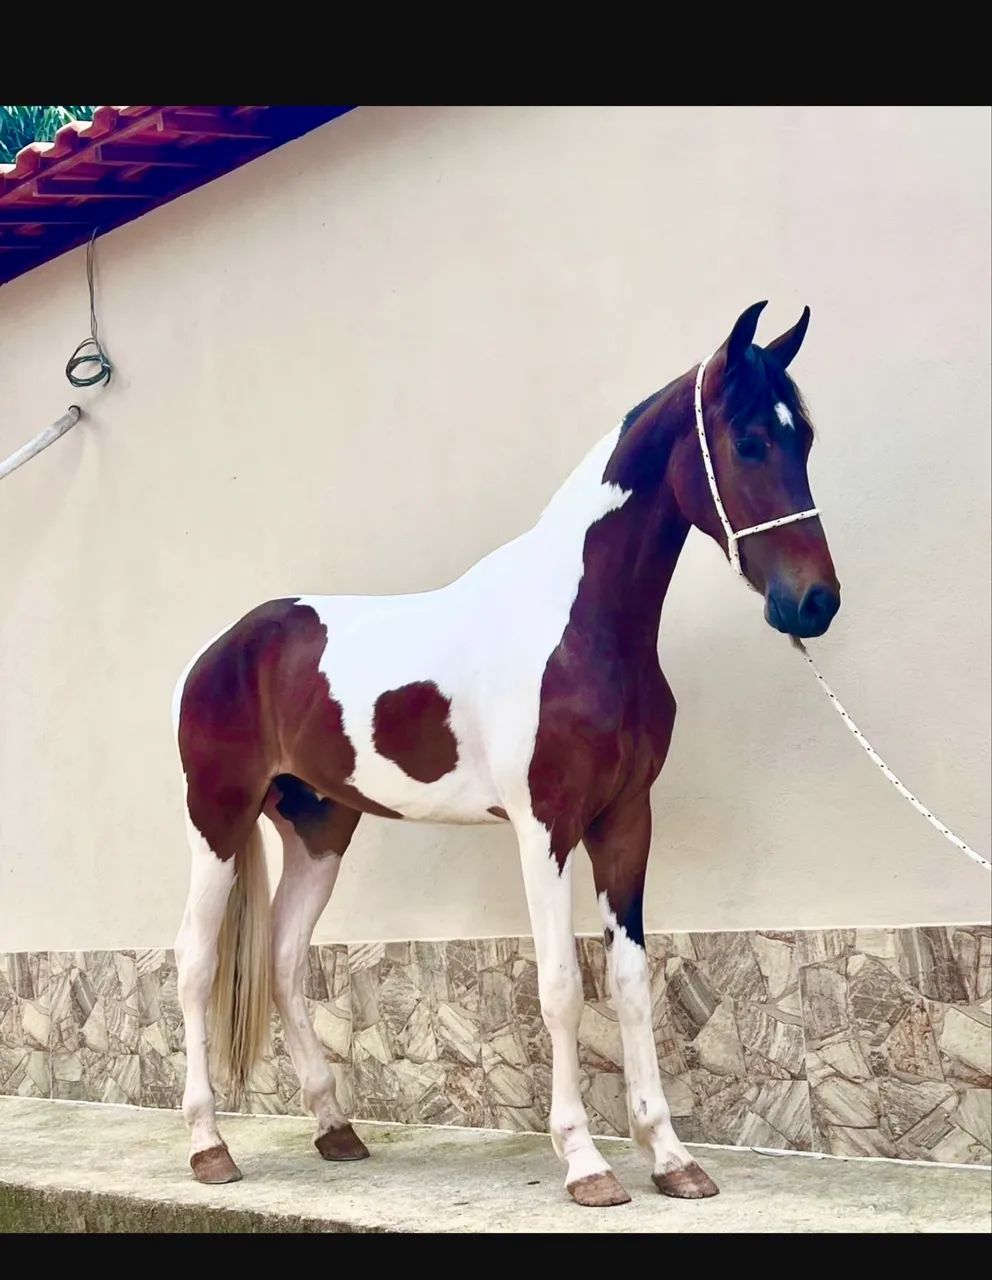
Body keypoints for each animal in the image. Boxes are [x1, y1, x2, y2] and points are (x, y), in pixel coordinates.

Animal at [172, 300, 840, 1207]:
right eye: (747, 440)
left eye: (803, 439)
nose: (815, 602)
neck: (580, 625)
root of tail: (223, 647)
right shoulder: (544, 827)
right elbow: (560, 987)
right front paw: (586, 1164)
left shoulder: (626, 819)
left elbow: (629, 982)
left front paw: (671, 1157)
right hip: (218, 817)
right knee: (196, 962)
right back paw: (209, 1147)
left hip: (319, 828)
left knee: (280, 960)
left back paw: (335, 1129)